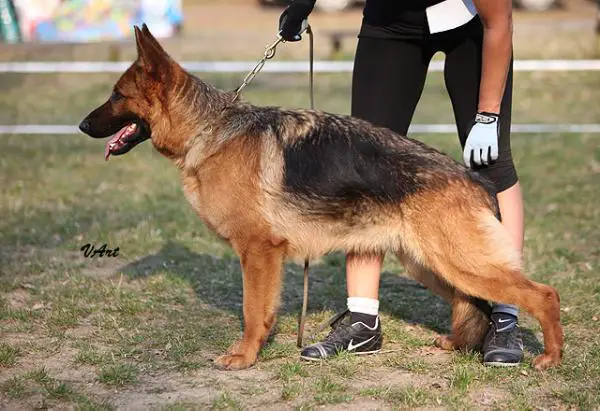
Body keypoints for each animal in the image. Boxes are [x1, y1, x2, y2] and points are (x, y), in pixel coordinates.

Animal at [79, 26, 564, 374]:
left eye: (117, 95)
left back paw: (549, 357)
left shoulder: (259, 252)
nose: (81, 125)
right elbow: (261, 310)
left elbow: (253, 311)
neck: (208, 129)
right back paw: (459, 343)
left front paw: (244, 356)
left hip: (458, 261)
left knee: (542, 294)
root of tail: (471, 177)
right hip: (428, 262)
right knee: (470, 302)